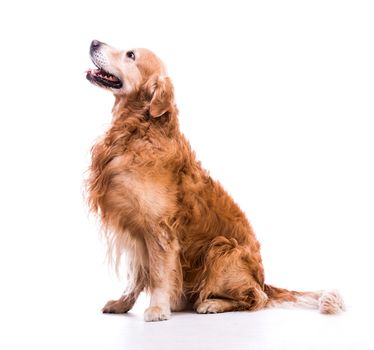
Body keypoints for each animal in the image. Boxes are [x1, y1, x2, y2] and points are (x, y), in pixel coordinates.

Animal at [85, 39, 344, 322]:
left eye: (130, 55)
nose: (94, 42)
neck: (138, 128)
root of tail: (263, 281)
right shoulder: (134, 229)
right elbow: (136, 275)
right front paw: (123, 303)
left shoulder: (159, 227)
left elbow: (158, 274)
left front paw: (158, 309)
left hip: (221, 249)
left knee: (256, 298)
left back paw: (213, 303)